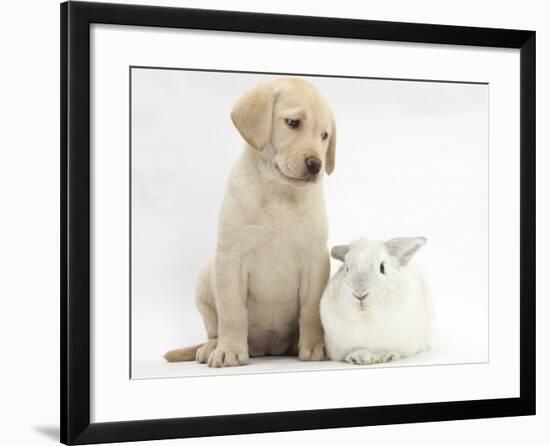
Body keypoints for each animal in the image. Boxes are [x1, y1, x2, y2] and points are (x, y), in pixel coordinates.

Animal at [164, 77, 336, 370]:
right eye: (293, 123)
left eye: (324, 136)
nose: (316, 165)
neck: (279, 192)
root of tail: (267, 348)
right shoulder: (231, 258)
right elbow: (232, 312)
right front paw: (230, 351)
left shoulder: (315, 260)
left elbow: (312, 311)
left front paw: (314, 346)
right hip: (205, 280)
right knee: (214, 328)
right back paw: (211, 347)